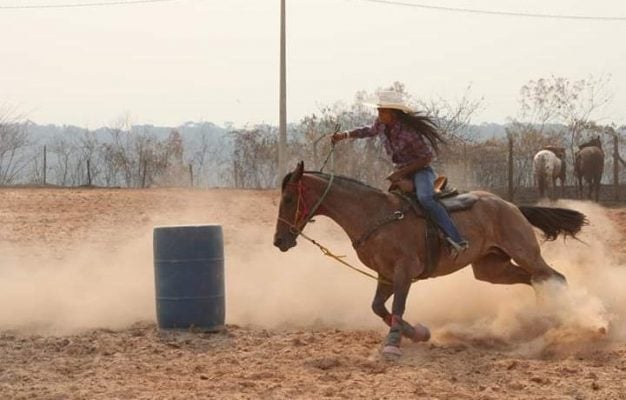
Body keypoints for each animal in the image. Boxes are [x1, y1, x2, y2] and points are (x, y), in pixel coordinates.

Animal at [272, 162, 584, 356]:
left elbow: (397, 305)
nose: (279, 241)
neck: (375, 215)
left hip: (524, 252)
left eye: (288, 198)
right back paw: (541, 318)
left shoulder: (404, 271)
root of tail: (510, 204)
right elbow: (378, 307)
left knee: (554, 276)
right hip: (492, 269)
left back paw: (563, 317)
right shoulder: (385, 275)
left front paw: (394, 343)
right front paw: (417, 333)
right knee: (536, 279)